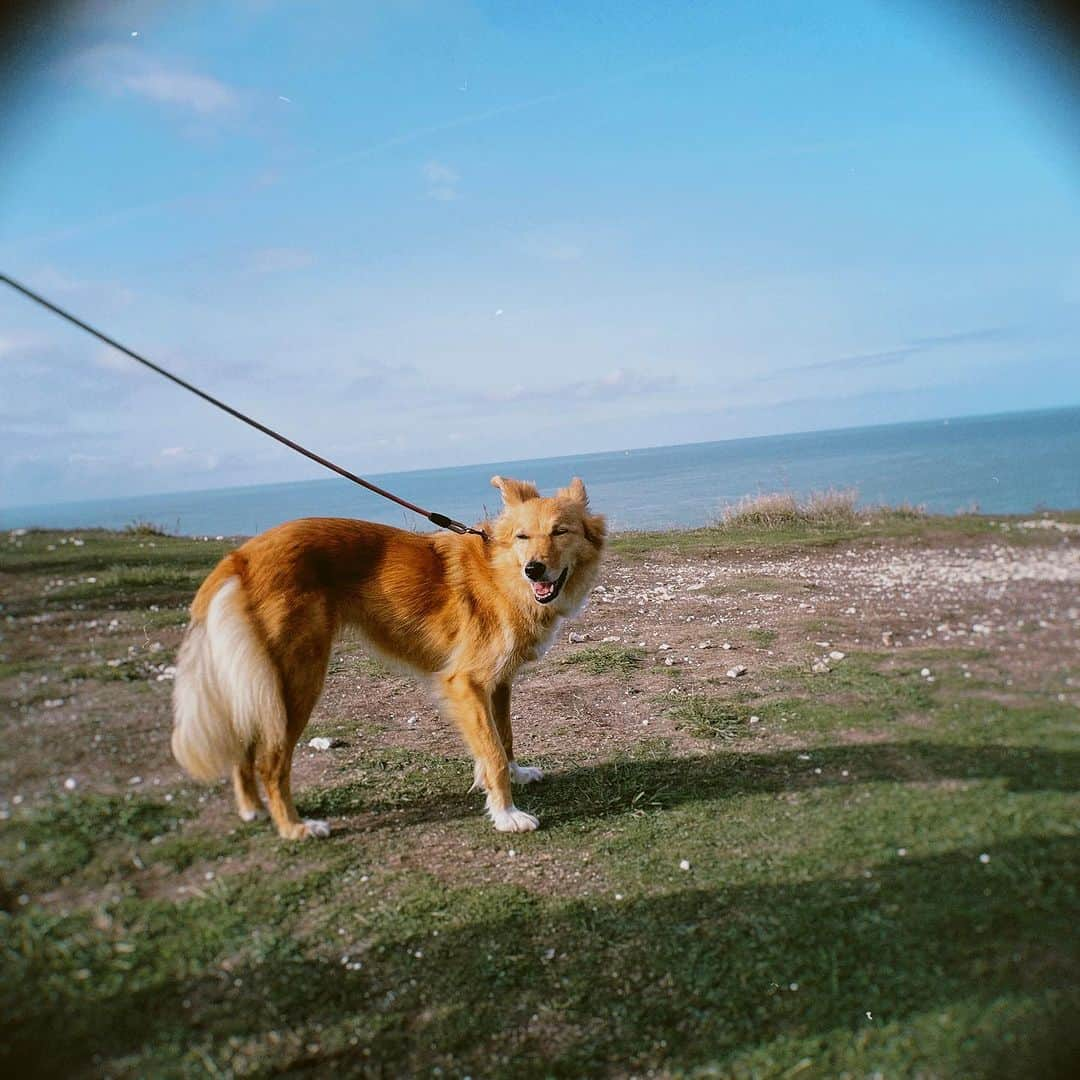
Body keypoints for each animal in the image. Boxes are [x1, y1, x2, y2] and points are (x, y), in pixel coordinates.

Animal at [172, 477, 604, 838]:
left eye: (560, 531)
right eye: (522, 536)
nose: (534, 569)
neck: (501, 574)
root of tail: (240, 556)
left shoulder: (497, 683)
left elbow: (504, 738)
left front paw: (514, 775)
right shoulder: (465, 684)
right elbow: (493, 751)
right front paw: (506, 814)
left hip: (263, 684)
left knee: (243, 747)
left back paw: (251, 808)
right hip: (296, 683)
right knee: (270, 764)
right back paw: (295, 827)